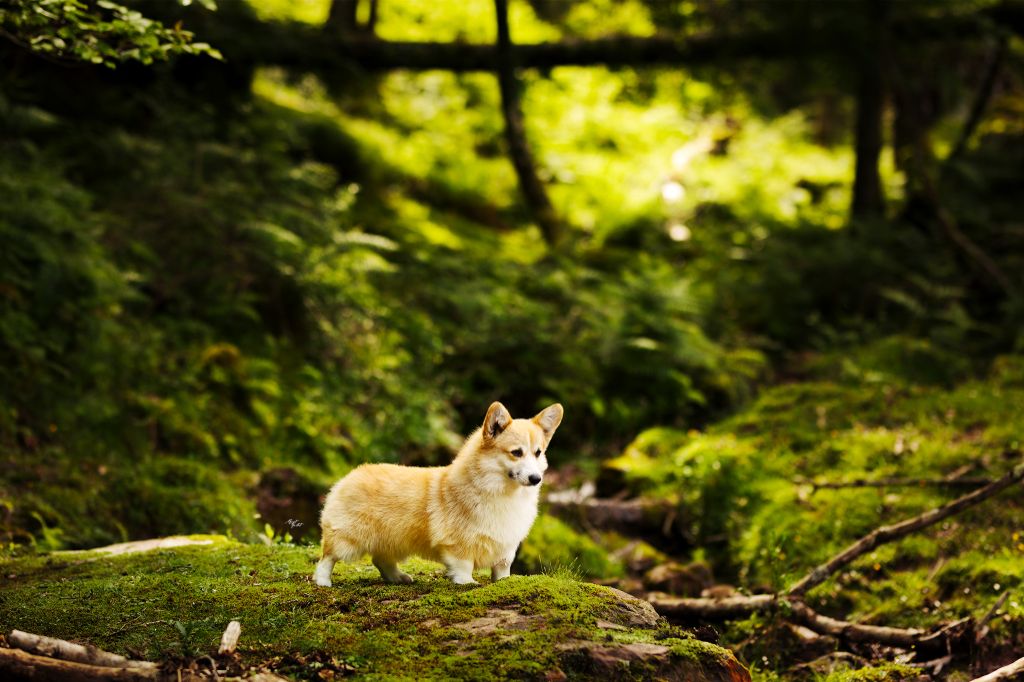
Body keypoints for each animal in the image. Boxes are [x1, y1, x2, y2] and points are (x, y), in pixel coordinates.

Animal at [315, 399, 565, 585]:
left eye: (538, 452)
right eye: (516, 452)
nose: (536, 479)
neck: (502, 492)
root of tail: (350, 475)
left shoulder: (506, 548)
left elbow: (502, 569)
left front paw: (503, 583)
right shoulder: (459, 544)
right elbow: (463, 566)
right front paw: (467, 583)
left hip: (392, 540)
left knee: (381, 560)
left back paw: (398, 578)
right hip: (348, 538)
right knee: (327, 557)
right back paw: (323, 582)